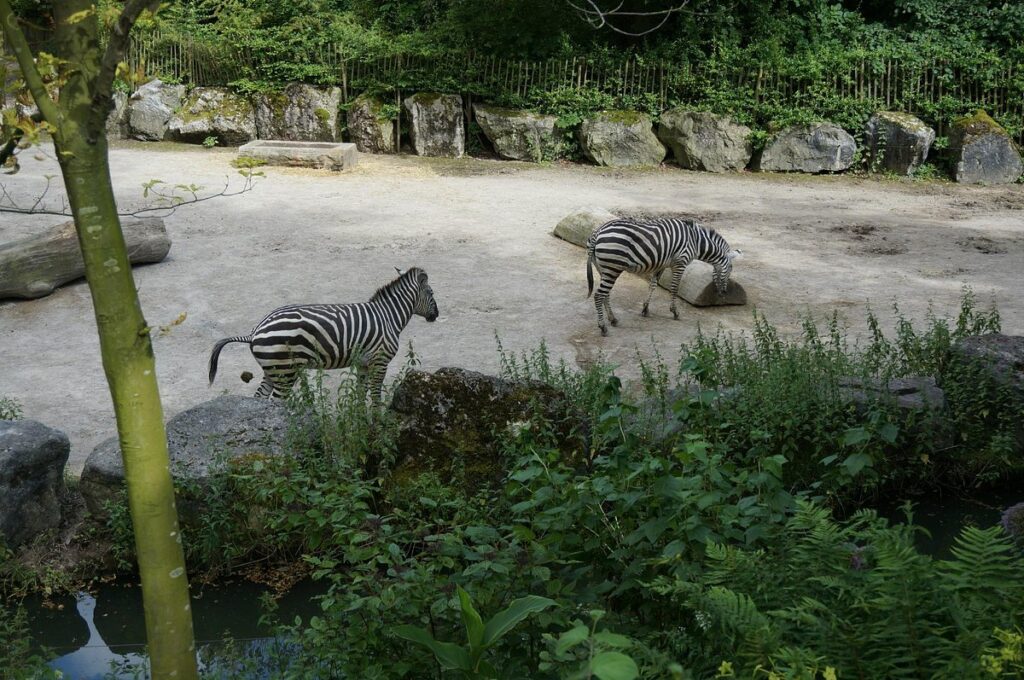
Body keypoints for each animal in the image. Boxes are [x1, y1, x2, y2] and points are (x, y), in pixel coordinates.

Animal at [207, 266, 440, 403]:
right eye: (431, 293)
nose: (436, 315)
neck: (388, 316)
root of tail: (255, 330)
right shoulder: (380, 361)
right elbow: (375, 395)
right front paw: (377, 424)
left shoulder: (363, 363)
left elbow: (360, 395)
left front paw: (361, 423)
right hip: (285, 372)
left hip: (273, 370)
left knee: (260, 399)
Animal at [589, 218, 741, 333]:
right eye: (731, 269)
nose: (724, 293)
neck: (696, 241)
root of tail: (598, 231)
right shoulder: (680, 263)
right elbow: (674, 288)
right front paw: (674, 312)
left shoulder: (661, 264)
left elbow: (653, 285)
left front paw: (645, 309)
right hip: (612, 267)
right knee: (599, 295)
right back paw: (602, 327)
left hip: (604, 268)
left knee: (606, 294)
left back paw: (613, 319)